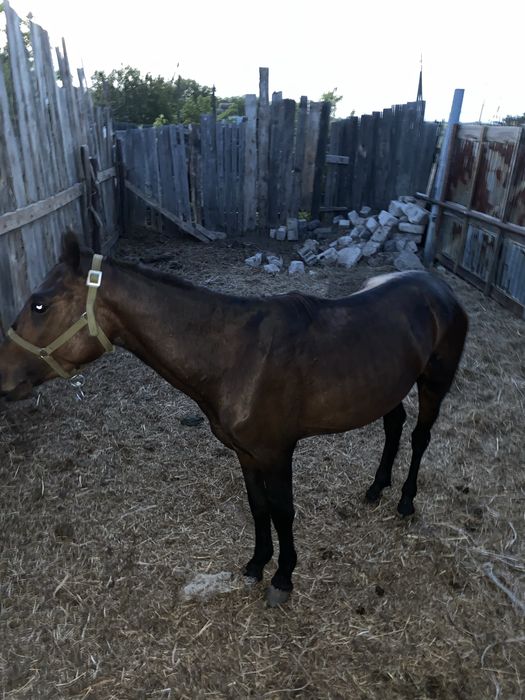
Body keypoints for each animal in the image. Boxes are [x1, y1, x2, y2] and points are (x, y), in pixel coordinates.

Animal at [0, 231, 468, 606]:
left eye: (39, 304)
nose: (4, 376)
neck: (235, 356)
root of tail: (440, 289)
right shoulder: (246, 453)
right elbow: (258, 508)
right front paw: (256, 565)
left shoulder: (277, 453)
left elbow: (283, 511)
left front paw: (283, 577)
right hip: (388, 384)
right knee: (394, 425)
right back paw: (376, 487)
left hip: (434, 382)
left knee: (420, 436)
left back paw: (405, 500)